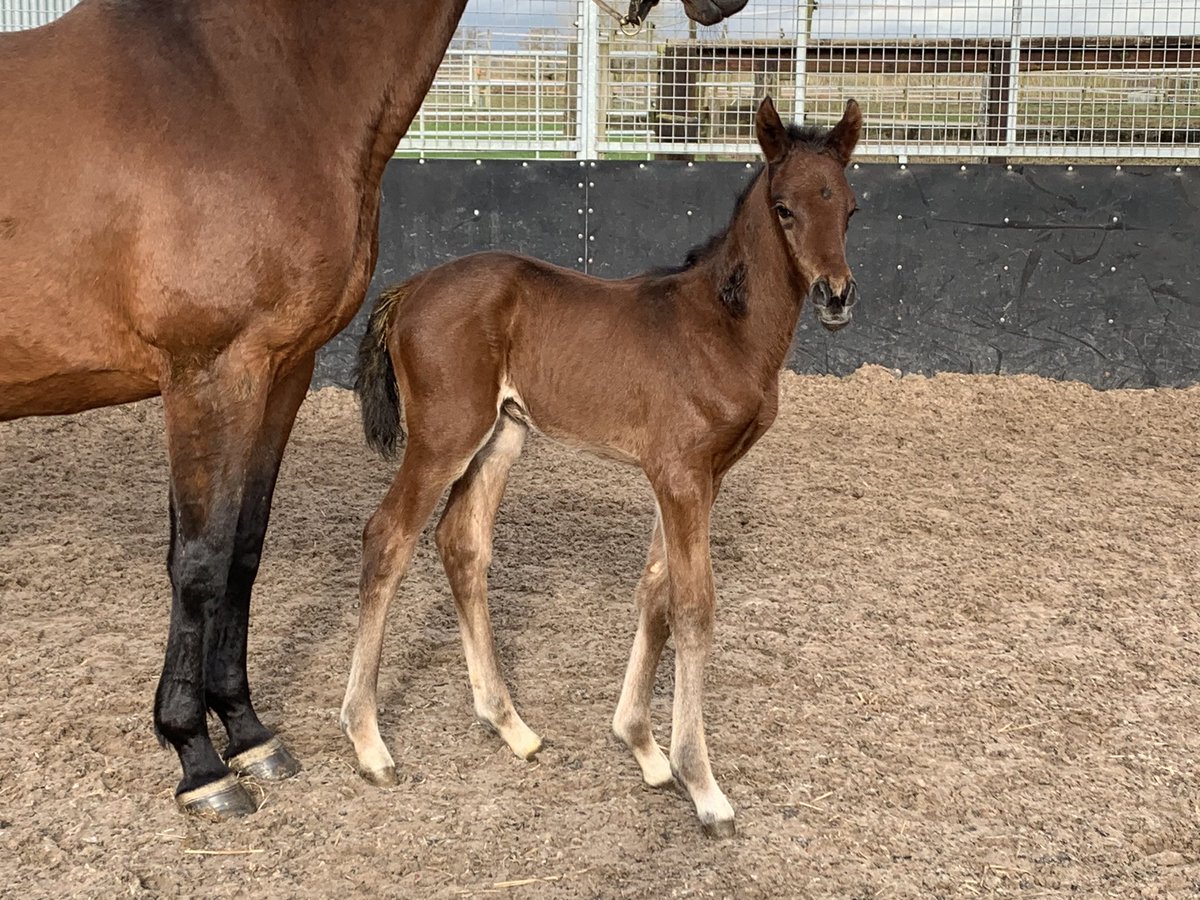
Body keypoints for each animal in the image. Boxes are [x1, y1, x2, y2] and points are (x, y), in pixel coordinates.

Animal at [0, 0, 748, 825]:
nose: (724, 8)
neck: (236, 84)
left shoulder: (279, 371)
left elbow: (244, 547)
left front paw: (249, 734)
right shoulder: (206, 372)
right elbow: (198, 562)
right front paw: (197, 759)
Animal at [343, 98, 859, 840]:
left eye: (848, 206)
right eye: (785, 208)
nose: (837, 296)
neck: (721, 329)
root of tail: (409, 287)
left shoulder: (697, 478)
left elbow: (655, 593)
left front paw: (642, 747)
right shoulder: (681, 477)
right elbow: (694, 608)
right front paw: (703, 788)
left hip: (500, 436)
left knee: (461, 544)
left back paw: (511, 726)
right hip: (444, 438)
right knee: (388, 537)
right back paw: (369, 744)